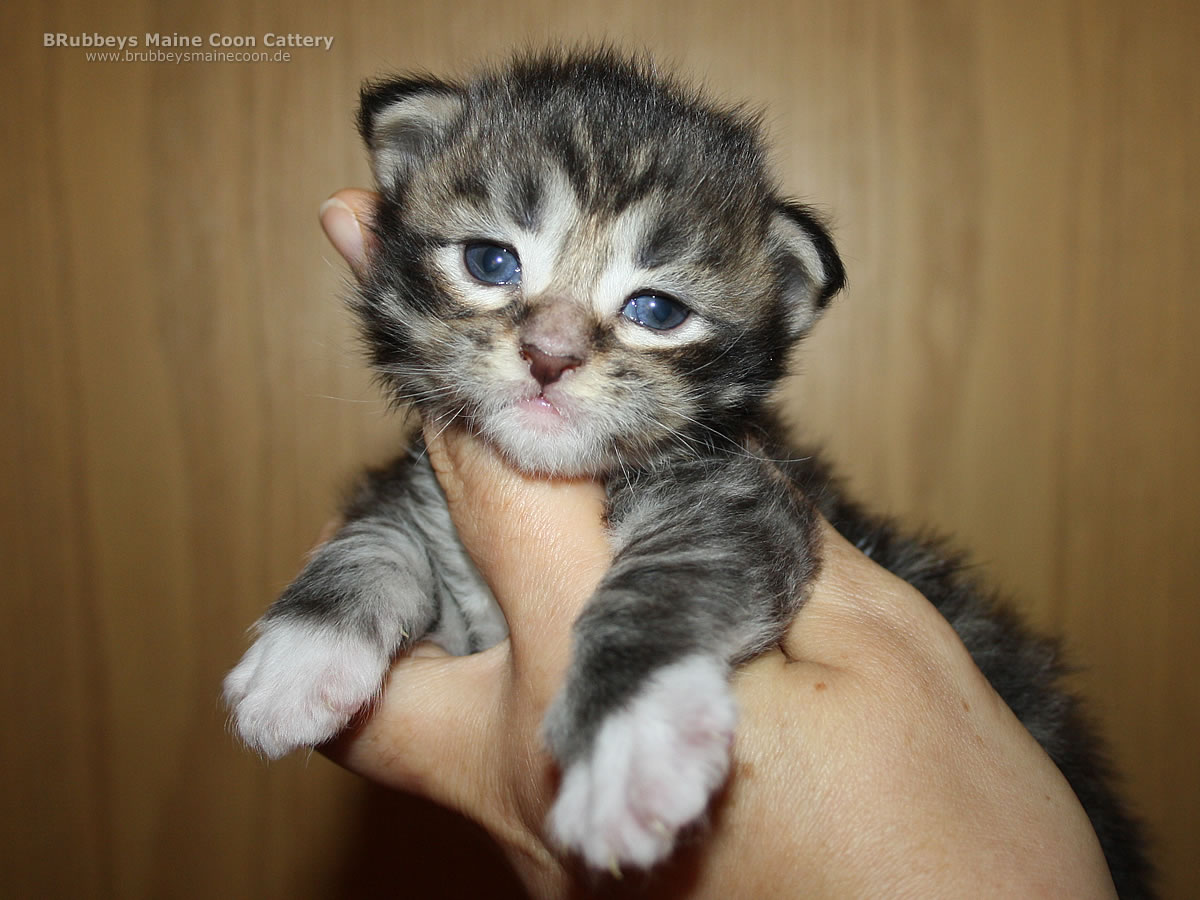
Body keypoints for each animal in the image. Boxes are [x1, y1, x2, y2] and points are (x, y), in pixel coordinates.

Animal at [225, 51, 1152, 900]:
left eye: (656, 311)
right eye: (491, 263)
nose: (550, 355)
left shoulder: (741, 498)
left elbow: (662, 587)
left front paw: (626, 739)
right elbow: (379, 528)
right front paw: (304, 649)